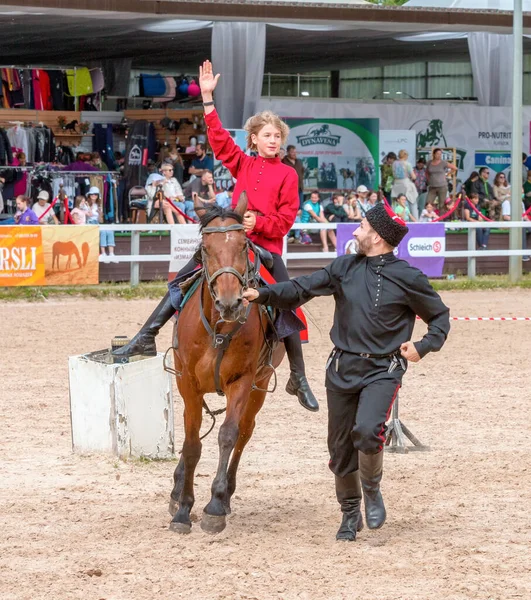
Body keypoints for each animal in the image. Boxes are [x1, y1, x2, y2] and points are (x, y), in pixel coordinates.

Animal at [170, 192, 286, 536]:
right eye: (205, 248)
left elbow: (227, 435)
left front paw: (214, 506)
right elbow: (191, 444)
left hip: (260, 386)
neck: (218, 328)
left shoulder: (242, 381)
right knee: (192, 432)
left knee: (245, 433)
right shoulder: (187, 384)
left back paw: (226, 495)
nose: (231, 302)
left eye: (243, 244)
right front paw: (183, 509)